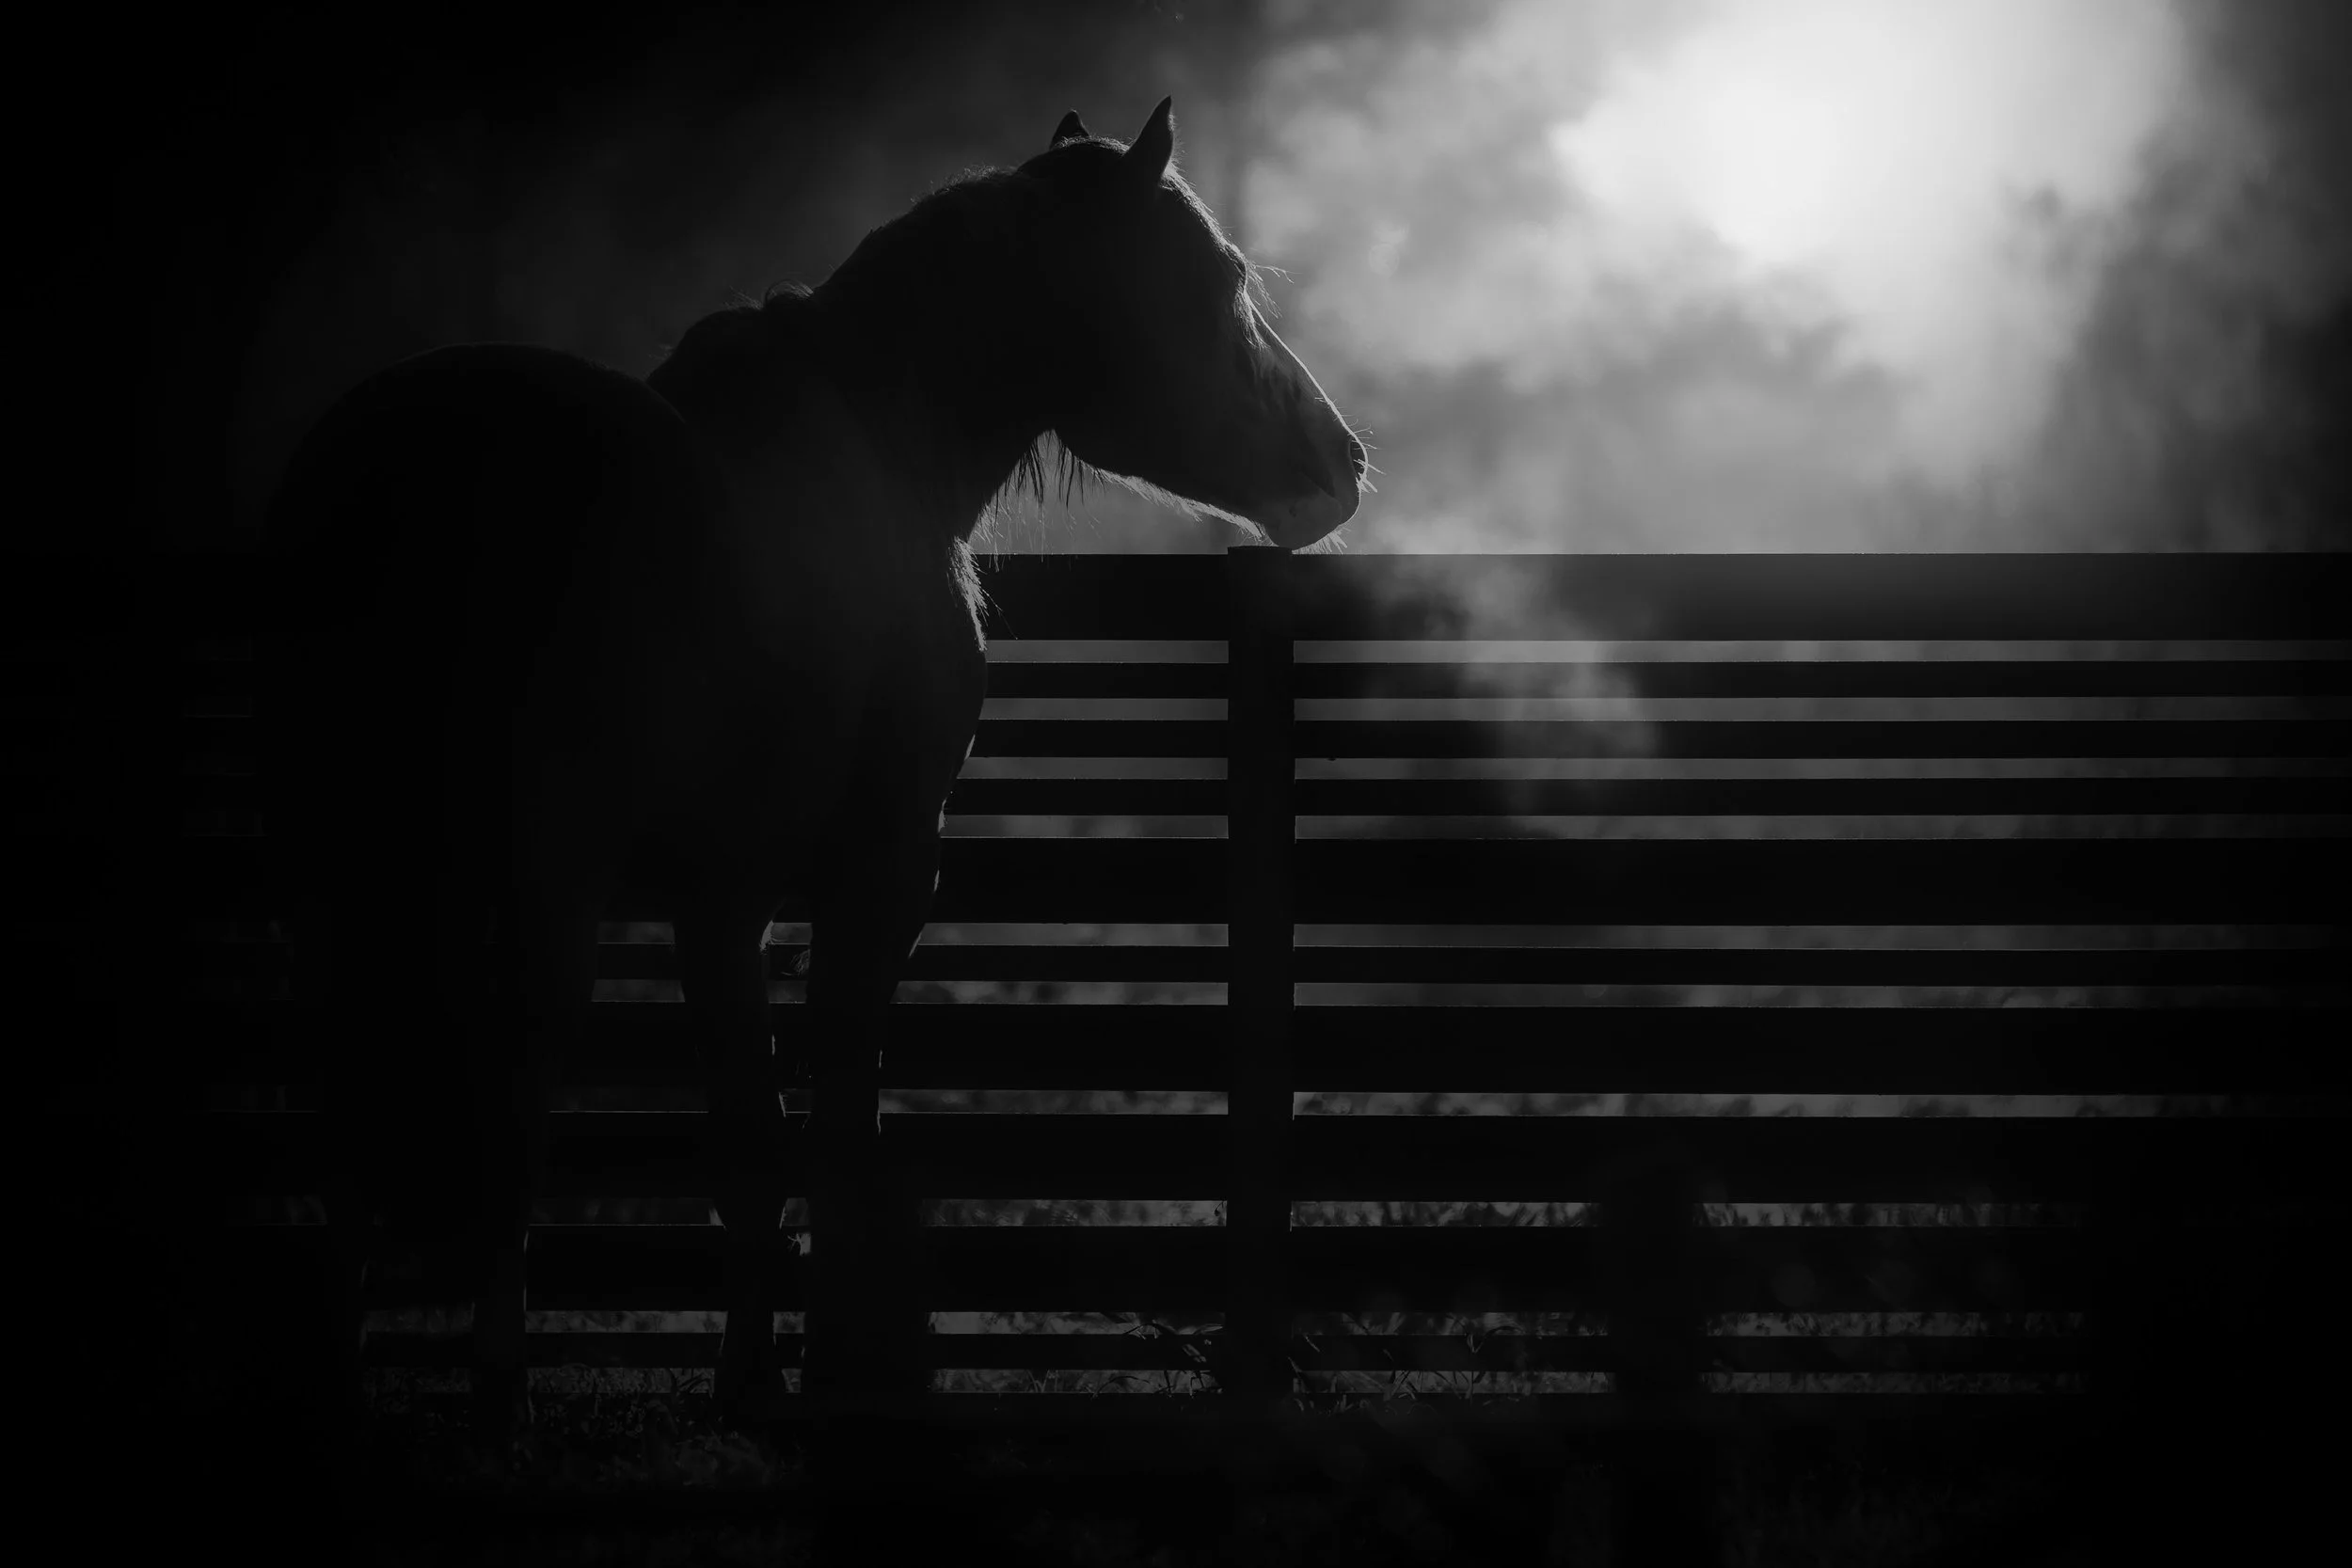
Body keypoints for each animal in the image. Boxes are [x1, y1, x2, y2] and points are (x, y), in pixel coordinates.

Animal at [259, 97, 1364, 1469]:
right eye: (1217, 282)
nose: (1342, 464)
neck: (887, 454)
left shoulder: (718, 898)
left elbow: (749, 1143)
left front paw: (752, 1375)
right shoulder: (879, 870)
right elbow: (834, 1120)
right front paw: (838, 1371)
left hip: (346, 883)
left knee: (351, 1116)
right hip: (540, 881)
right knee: (507, 1107)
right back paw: (498, 1397)